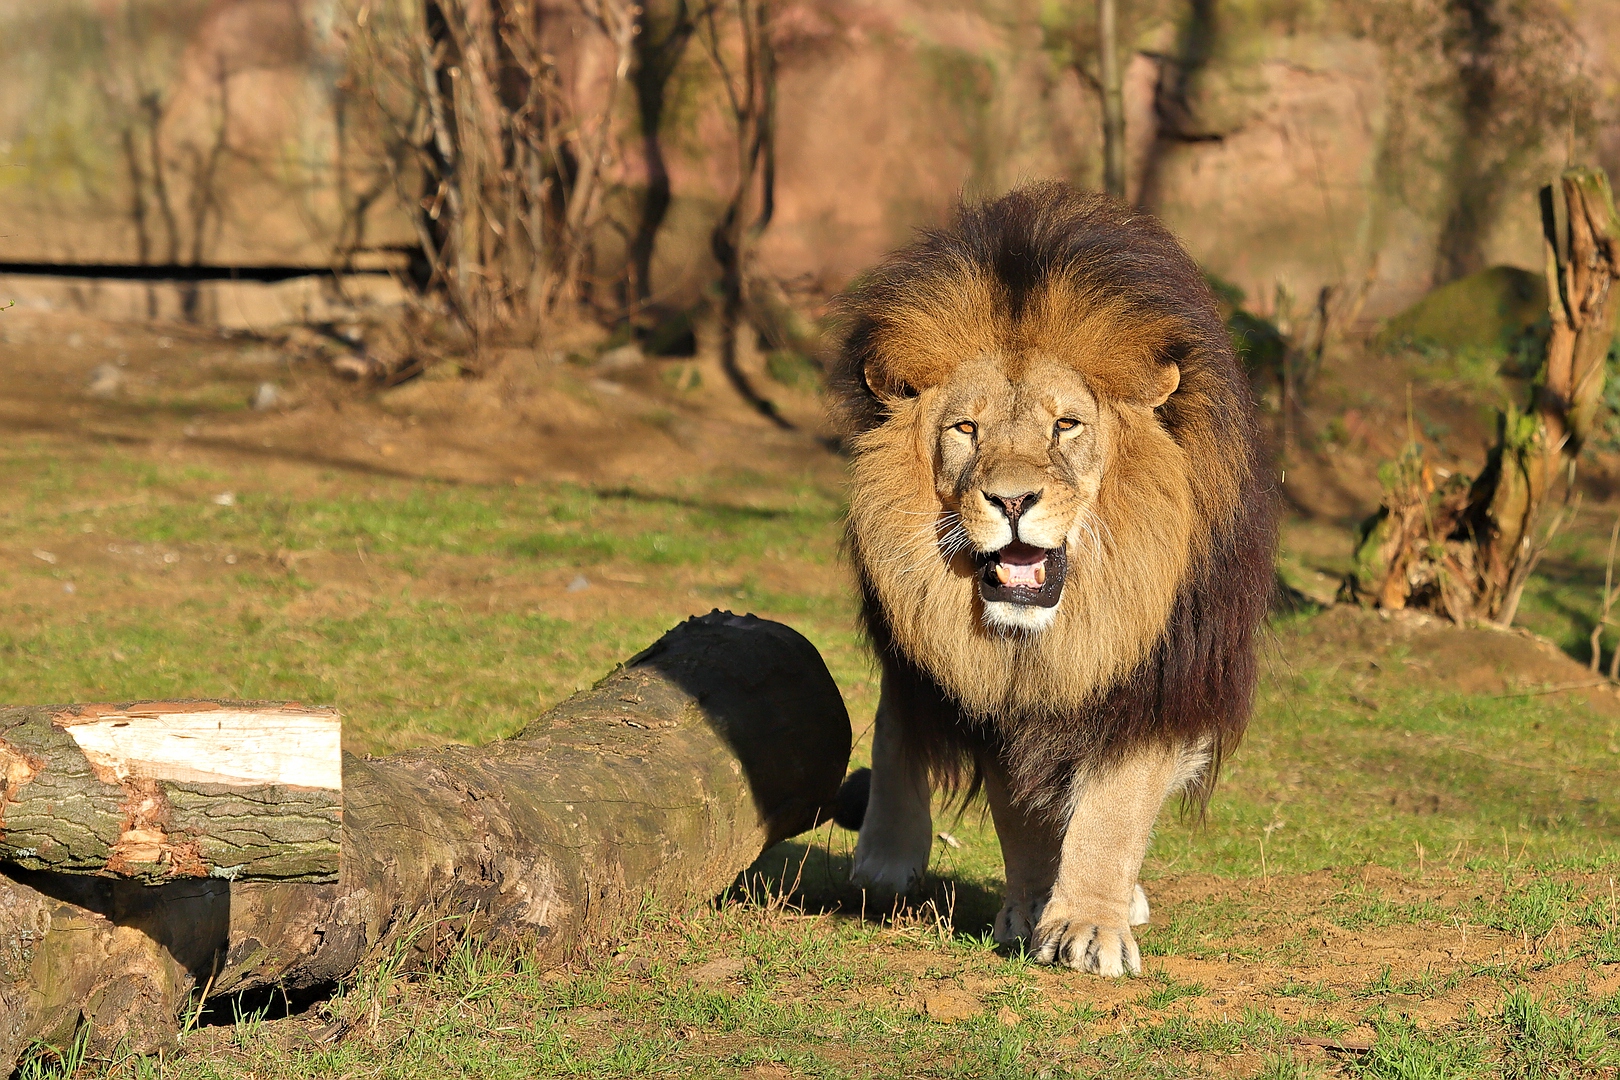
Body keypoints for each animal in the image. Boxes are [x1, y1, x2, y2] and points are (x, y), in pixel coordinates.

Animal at [829, 181, 1270, 977]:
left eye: (1066, 425)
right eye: (964, 429)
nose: (1010, 500)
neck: (1056, 634)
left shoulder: (1160, 679)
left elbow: (1115, 807)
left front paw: (1090, 924)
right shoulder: (988, 686)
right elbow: (1019, 810)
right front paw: (1033, 907)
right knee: (899, 709)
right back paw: (886, 856)